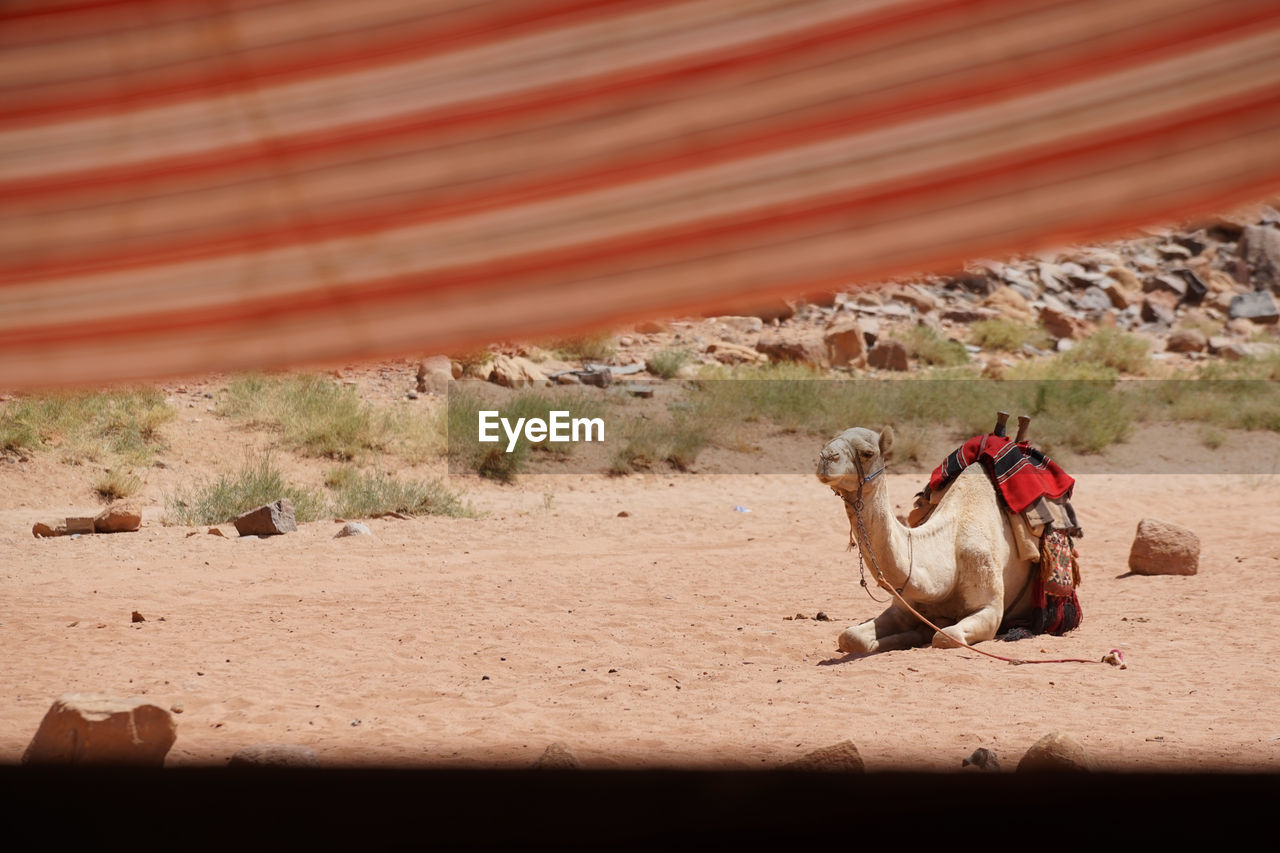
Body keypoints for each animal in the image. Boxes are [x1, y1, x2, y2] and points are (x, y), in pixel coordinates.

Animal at [814, 422, 1034, 650]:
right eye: (827, 442)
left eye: (868, 453)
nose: (826, 457)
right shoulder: (903, 607)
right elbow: (850, 637)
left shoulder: (989, 607)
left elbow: (945, 637)